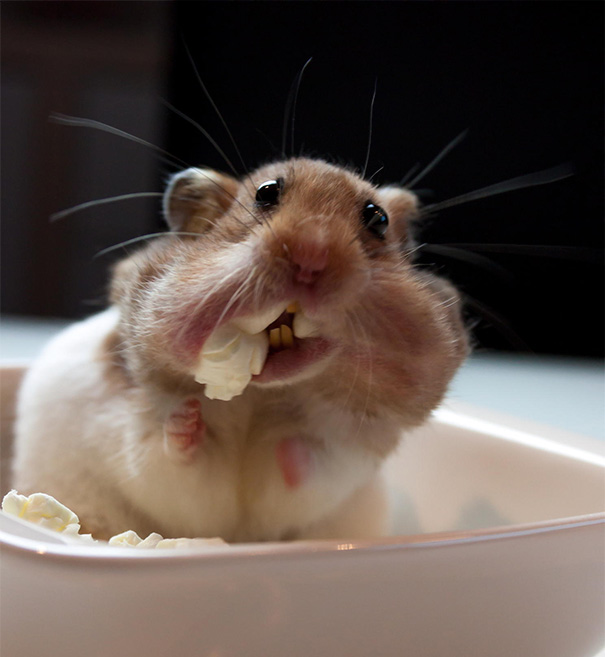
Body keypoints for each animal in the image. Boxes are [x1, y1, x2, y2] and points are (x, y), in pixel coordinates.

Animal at [12, 157, 468, 542]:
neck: (260, 395)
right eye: (266, 193)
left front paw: (293, 445)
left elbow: (312, 471)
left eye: (378, 218)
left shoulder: (348, 460)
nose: (312, 255)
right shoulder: (137, 445)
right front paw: (187, 420)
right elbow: (168, 462)